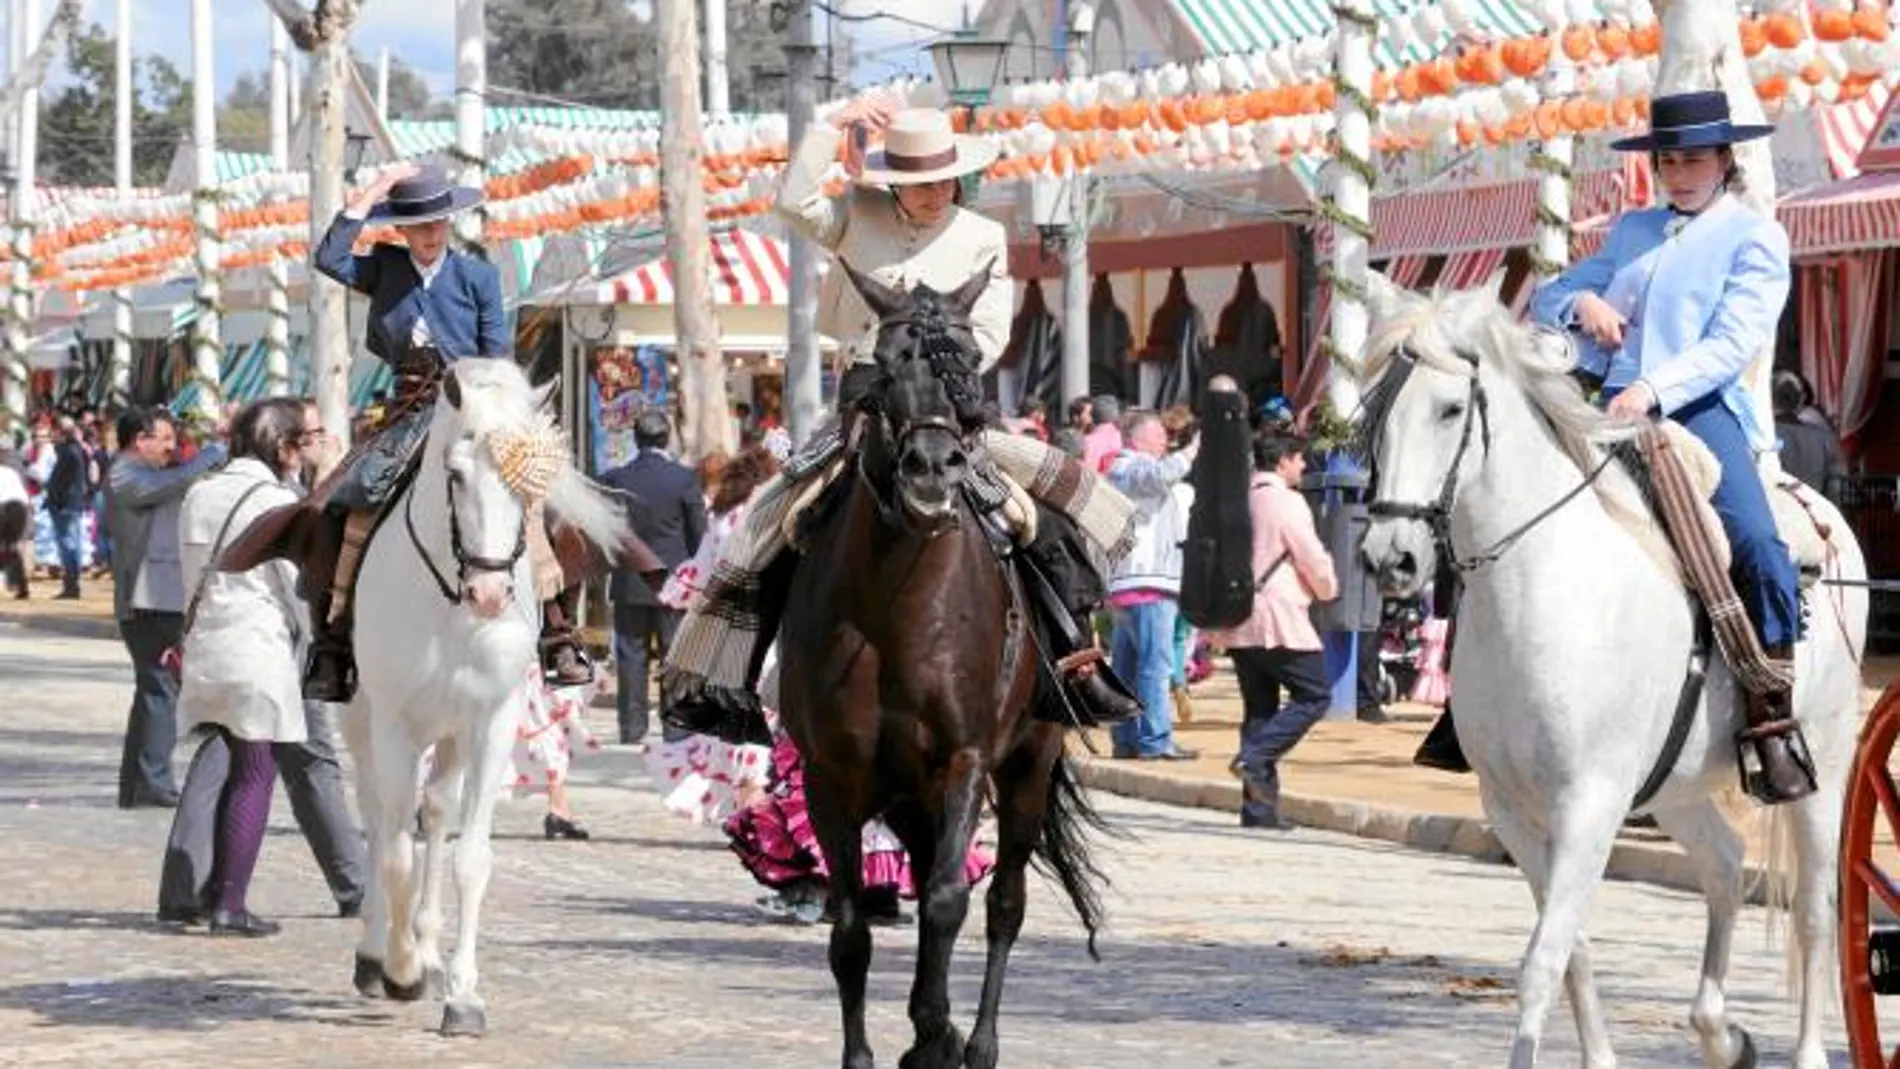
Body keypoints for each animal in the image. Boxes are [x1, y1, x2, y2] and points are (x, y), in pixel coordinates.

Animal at [336, 358, 630, 1040]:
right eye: (456, 475)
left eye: (529, 490)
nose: (491, 594)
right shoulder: (394, 722)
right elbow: (394, 855)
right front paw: (400, 971)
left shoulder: (490, 722)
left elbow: (470, 858)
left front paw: (461, 994)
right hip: (366, 723)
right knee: (378, 816)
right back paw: (378, 956)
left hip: (449, 733)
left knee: (436, 811)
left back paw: (428, 951)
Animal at [779, 262, 1109, 1069]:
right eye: (887, 362)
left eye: (972, 361)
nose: (932, 471)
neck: (892, 607)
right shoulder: (831, 774)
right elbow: (850, 932)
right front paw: (881, 1048)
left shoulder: (964, 758)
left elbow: (948, 900)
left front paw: (936, 1032)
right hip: (903, 789)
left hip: (1025, 764)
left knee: (1003, 903)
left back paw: (978, 1039)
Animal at [1352, 279, 1869, 1069]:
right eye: (1376, 409)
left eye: (1449, 409)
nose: (1391, 558)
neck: (1537, 586)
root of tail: (1823, 515)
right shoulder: (1513, 808)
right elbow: (1572, 949)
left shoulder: (1588, 804)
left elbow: (1541, 962)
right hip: (1673, 786)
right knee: (1724, 863)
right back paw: (1722, 1033)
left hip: (1824, 769)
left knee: (1815, 909)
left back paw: (1806, 1050)